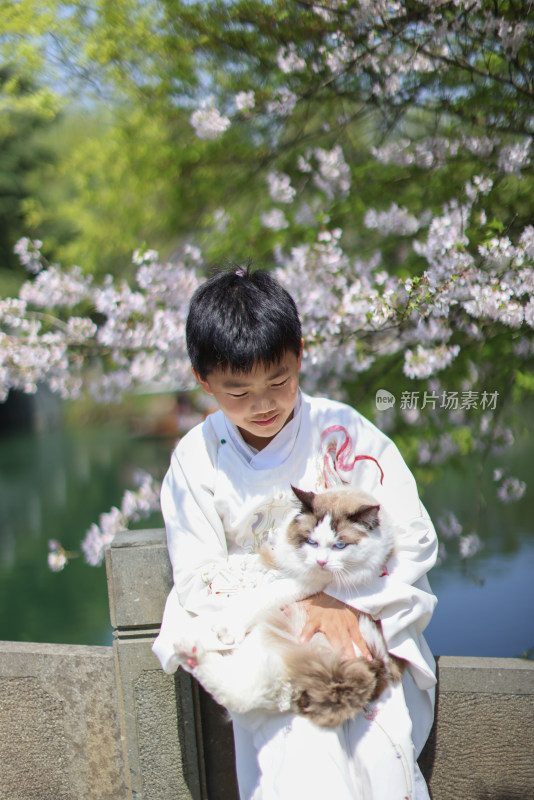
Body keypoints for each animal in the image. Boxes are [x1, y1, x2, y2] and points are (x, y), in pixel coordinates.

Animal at [176, 484, 406, 728]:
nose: (321, 562)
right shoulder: (280, 554)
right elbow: (258, 561)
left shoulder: (306, 582)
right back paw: (188, 652)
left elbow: (262, 596)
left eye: (340, 545)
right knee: (243, 691)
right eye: (312, 542)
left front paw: (227, 626)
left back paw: (190, 651)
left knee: (242, 692)